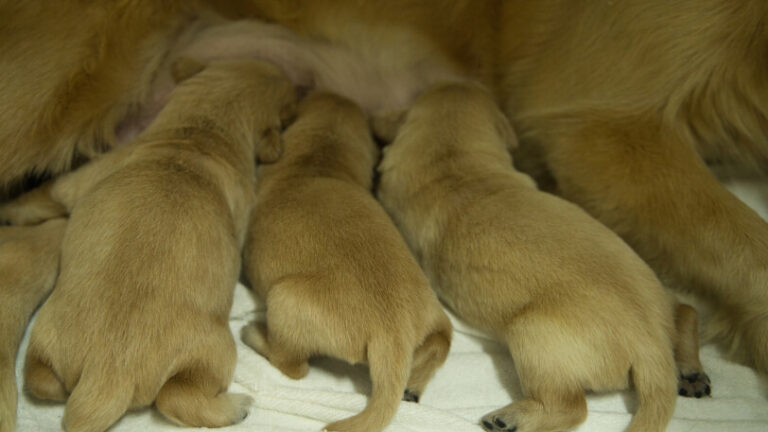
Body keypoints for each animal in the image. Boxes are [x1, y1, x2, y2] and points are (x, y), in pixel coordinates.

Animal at [15, 58, 296, 432]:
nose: (296, 81)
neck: (198, 133)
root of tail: (107, 374)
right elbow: (38, 196)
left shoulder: (76, 181)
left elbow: (42, 194)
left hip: (205, 350)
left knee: (171, 398)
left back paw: (237, 407)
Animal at [243, 91, 452, 432]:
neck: (318, 161)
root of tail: (394, 334)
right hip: (436, 317)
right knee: (440, 345)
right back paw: (414, 385)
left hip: (284, 300)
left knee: (293, 366)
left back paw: (255, 335)